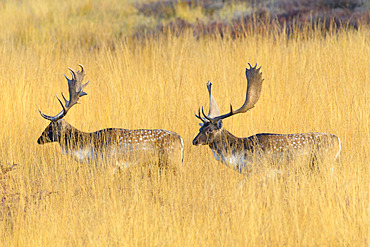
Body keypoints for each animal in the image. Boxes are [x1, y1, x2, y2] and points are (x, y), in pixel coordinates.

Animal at [38, 64, 184, 171]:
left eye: (51, 127)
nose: (39, 139)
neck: (88, 148)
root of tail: (181, 140)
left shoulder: (109, 165)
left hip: (173, 161)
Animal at [194, 63, 342, 176]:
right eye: (200, 128)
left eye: (210, 130)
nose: (194, 141)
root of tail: (338, 141)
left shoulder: (259, 171)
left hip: (324, 164)